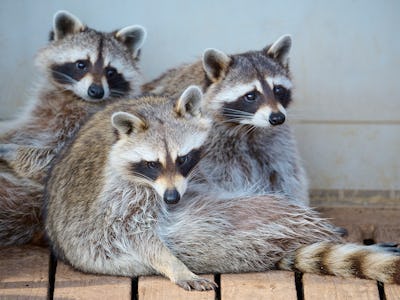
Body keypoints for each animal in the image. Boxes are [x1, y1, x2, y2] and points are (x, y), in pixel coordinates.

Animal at [0, 10, 147, 246]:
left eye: (111, 71)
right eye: (81, 64)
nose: (96, 91)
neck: (75, 97)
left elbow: (53, 162)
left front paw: (13, 152)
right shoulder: (39, 113)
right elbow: (21, 126)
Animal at [44, 85, 400, 290]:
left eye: (184, 158)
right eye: (152, 164)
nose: (172, 198)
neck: (149, 109)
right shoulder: (121, 192)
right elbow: (132, 231)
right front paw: (176, 267)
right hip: (215, 235)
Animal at [144, 35, 310, 204]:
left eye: (278, 90)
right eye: (251, 96)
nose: (277, 118)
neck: (247, 126)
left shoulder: (274, 139)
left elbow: (285, 172)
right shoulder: (210, 147)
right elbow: (223, 178)